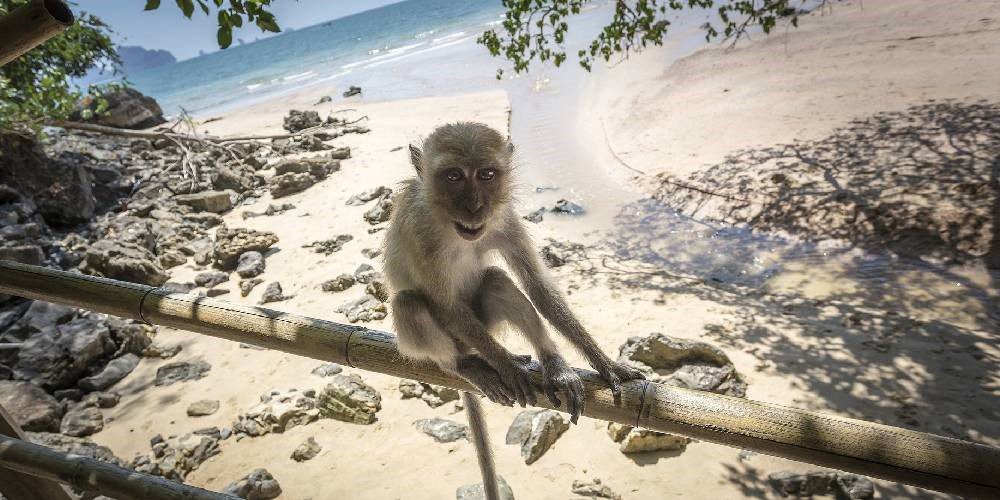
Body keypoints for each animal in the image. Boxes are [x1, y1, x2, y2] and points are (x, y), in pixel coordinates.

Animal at [382, 121, 648, 500]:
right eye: (453, 176)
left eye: (486, 175)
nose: (475, 206)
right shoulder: (420, 232)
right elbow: (444, 304)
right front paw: (507, 366)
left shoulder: (504, 219)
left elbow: (536, 285)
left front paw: (605, 363)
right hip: (448, 341)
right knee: (410, 303)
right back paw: (460, 364)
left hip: (486, 325)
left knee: (496, 280)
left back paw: (553, 364)